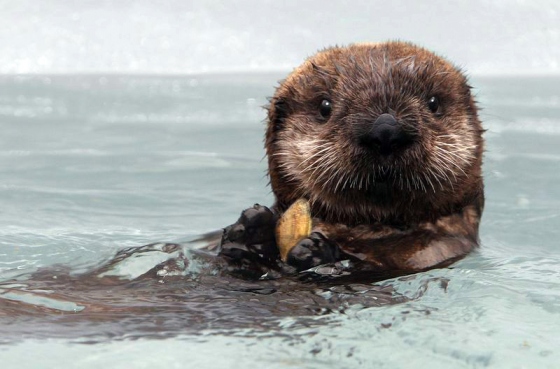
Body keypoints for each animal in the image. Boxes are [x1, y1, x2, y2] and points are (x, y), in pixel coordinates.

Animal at [217, 41, 484, 278]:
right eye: (325, 106)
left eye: (433, 103)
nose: (386, 129)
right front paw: (251, 229)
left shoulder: (433, 250)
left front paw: (315, 251)